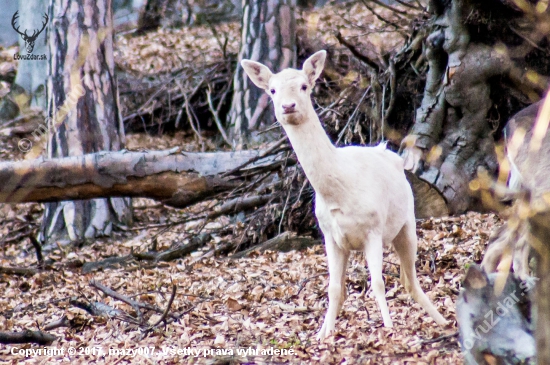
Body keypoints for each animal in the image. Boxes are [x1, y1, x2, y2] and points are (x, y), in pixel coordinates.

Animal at [244, 50, 450, 338]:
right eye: (272, 90)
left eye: (305, 86)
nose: (288, 106)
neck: (338, 193)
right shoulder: (330, 236)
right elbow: (334, 289)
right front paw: (324, 335)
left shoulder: (373, 229)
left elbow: (378, 282)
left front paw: (388, 327)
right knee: (393, 283)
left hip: (407, 222)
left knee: (412, 280)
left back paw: (444, 321)